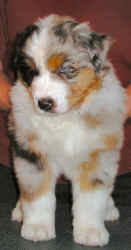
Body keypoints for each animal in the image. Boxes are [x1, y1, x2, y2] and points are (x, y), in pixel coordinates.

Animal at [8, 14, 126, 247]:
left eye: (67, 69)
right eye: (31, 72)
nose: (44, 103)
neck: (64, 118)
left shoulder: (96, 154)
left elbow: (91, 198)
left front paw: (90, 231)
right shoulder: (31, 152)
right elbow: (37, 194)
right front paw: (37, 228)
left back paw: (109, 209)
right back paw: (20, 210)